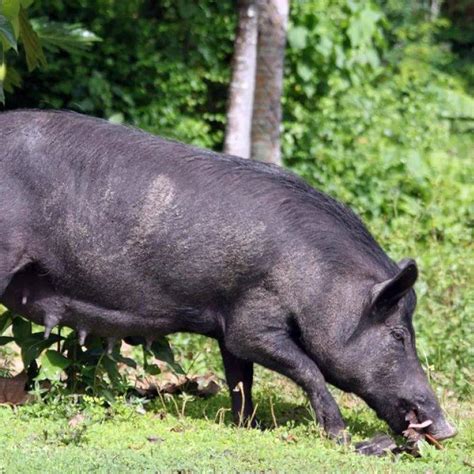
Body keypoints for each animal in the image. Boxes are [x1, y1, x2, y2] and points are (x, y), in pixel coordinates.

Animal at [0, 111, 456, 444]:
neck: (317, 282)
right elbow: (306, 367)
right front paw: (339, 436)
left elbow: (241, 378)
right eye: (399, 335)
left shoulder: (228, 321)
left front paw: (247, 425)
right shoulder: (254, 319)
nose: (449, 429)